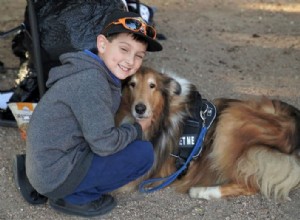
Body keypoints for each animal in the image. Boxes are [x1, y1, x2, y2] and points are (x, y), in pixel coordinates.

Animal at [115, 66, 300, 200]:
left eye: (152, 86)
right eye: (132, 84)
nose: (139, 108)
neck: (164, 114)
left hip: (229, 123)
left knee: (251, 185)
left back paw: (202, 191)